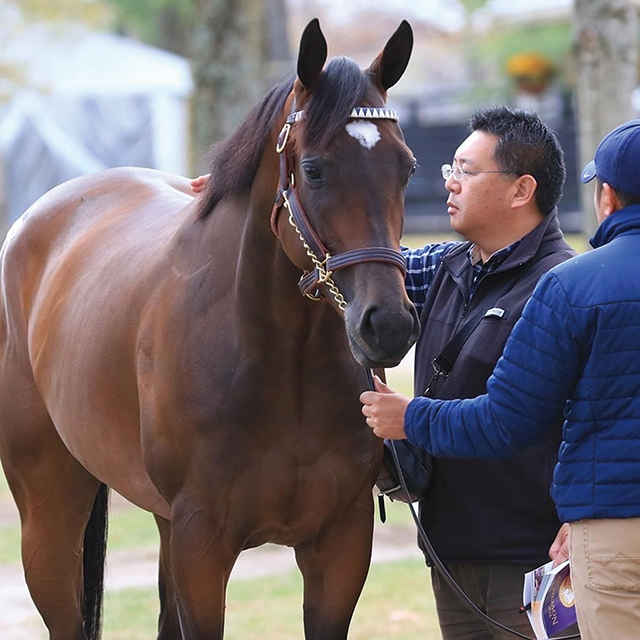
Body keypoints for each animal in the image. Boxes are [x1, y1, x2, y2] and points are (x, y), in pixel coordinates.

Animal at [0, 17, 420, 636]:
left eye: (406, 167)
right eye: (314, 170)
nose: (387, 325)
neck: (278, 367)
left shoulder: (340, 543)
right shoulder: (201, 546)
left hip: (160, 521)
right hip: (50, 517)